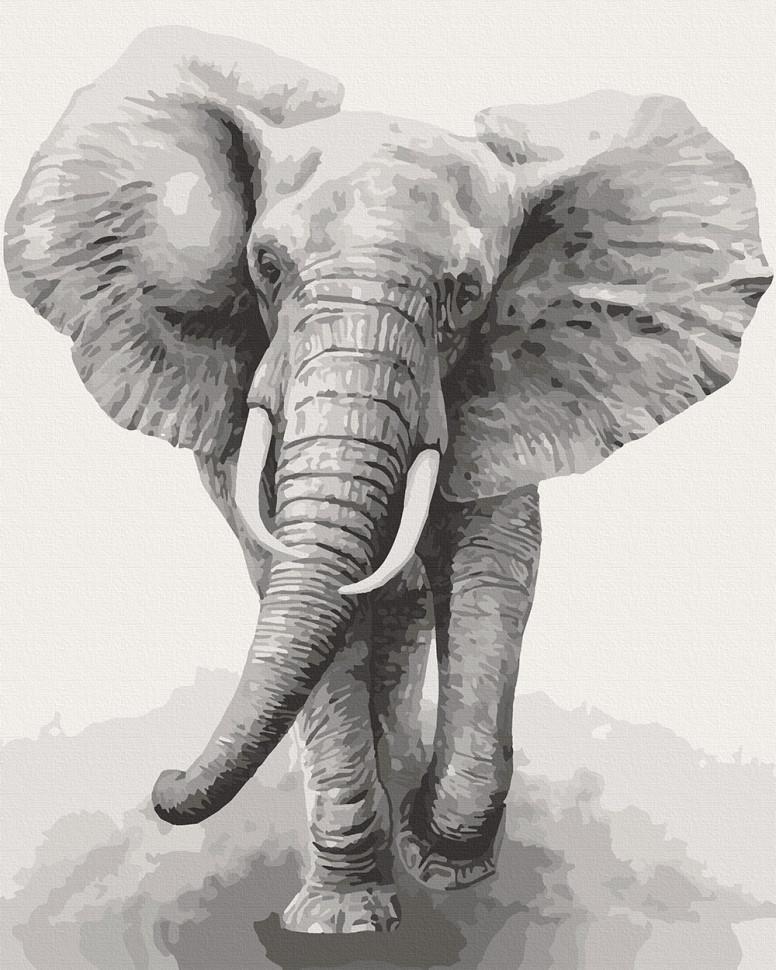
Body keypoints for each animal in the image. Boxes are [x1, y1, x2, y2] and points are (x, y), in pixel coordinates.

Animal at [5, 27, 771, 935]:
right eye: (265, 265)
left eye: (467, 293)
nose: (161, 783)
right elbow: (305, 594)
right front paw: (344, 920)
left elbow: (491, 575)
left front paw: (441, 855)